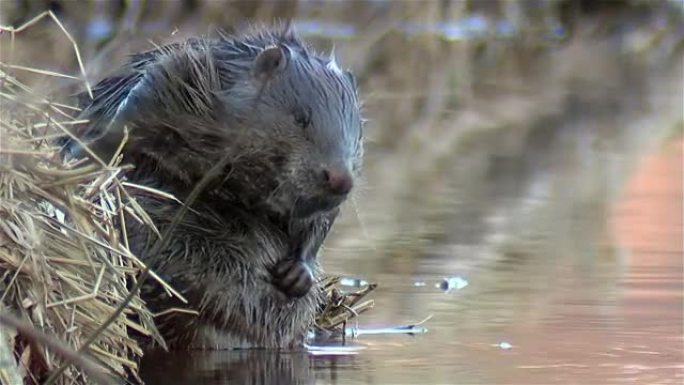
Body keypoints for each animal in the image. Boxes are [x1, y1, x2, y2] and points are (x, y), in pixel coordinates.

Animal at [63, 27, 364, 348]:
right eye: (301, 118)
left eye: (355, 133)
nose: (341, 179)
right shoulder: (176, 81)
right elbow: (125, 121)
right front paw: (80, 158)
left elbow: (320, 221)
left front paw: (297, 275)